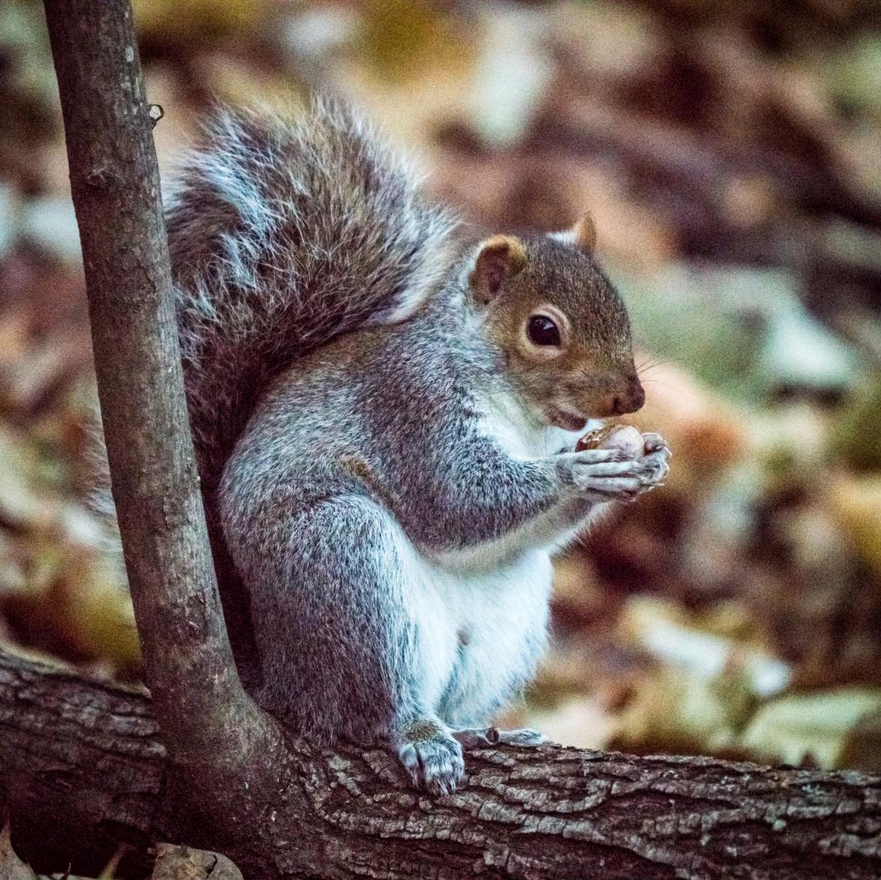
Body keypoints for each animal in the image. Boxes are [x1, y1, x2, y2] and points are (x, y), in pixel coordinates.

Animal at [135, 98, 671, 795]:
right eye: (543, 329)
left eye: (620, 306)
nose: (630, 398)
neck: (523, 418)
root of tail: (282, 687)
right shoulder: (410, 410)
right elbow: (455, 501)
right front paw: (582, 471)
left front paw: (647, 460)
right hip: (345, 565)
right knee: (372, 710)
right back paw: (418, 735)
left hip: (506, 623)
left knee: (456, 696)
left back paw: (480, 730)